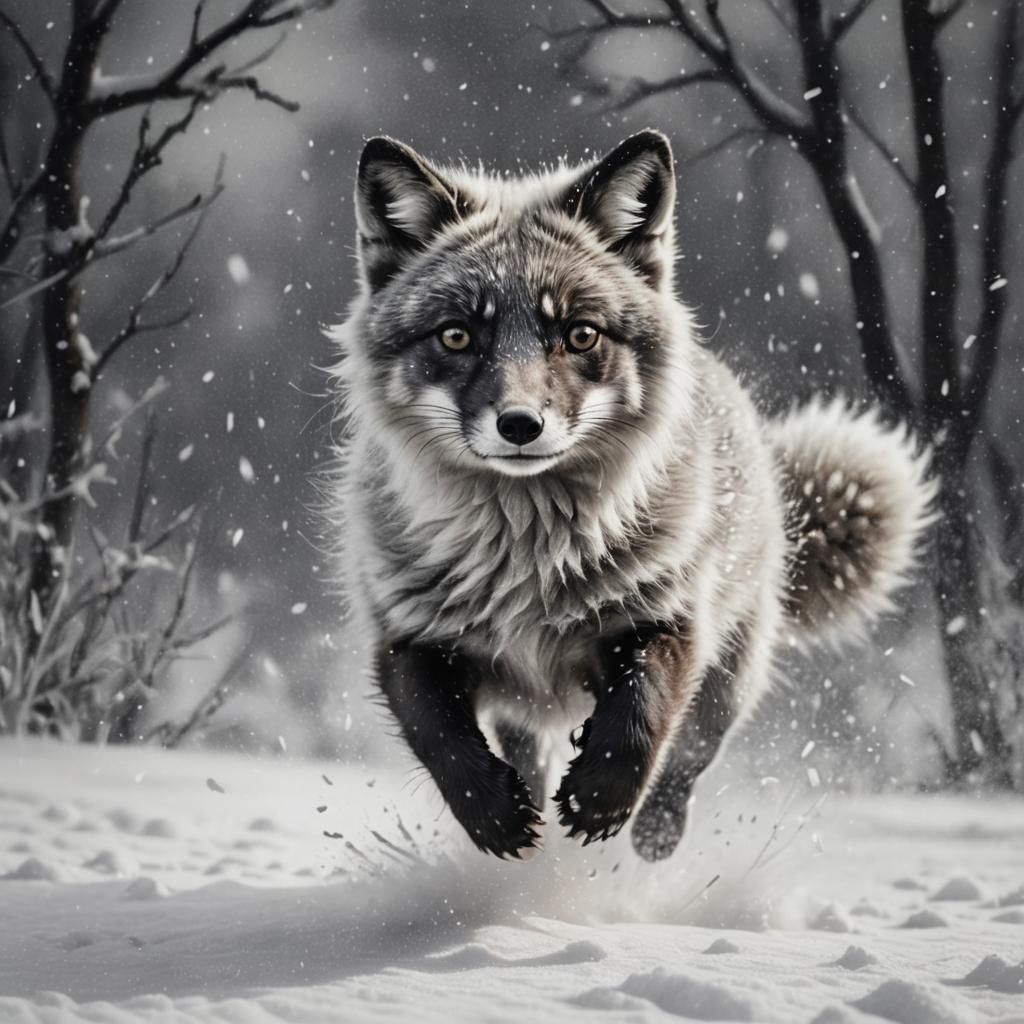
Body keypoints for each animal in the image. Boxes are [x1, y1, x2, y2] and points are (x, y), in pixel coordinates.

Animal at [328, 130, 935, 861]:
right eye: (456, 335)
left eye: (580, 334)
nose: (520, 425)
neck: (526, 557)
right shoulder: (409, 639)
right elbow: (442, 741)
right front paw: (497, 819)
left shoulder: (663, 618)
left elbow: (639, 722)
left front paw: (601, 803)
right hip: (526, 703)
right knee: (525, 746)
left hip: (729, 678)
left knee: (691, 754)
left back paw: (656, 831)